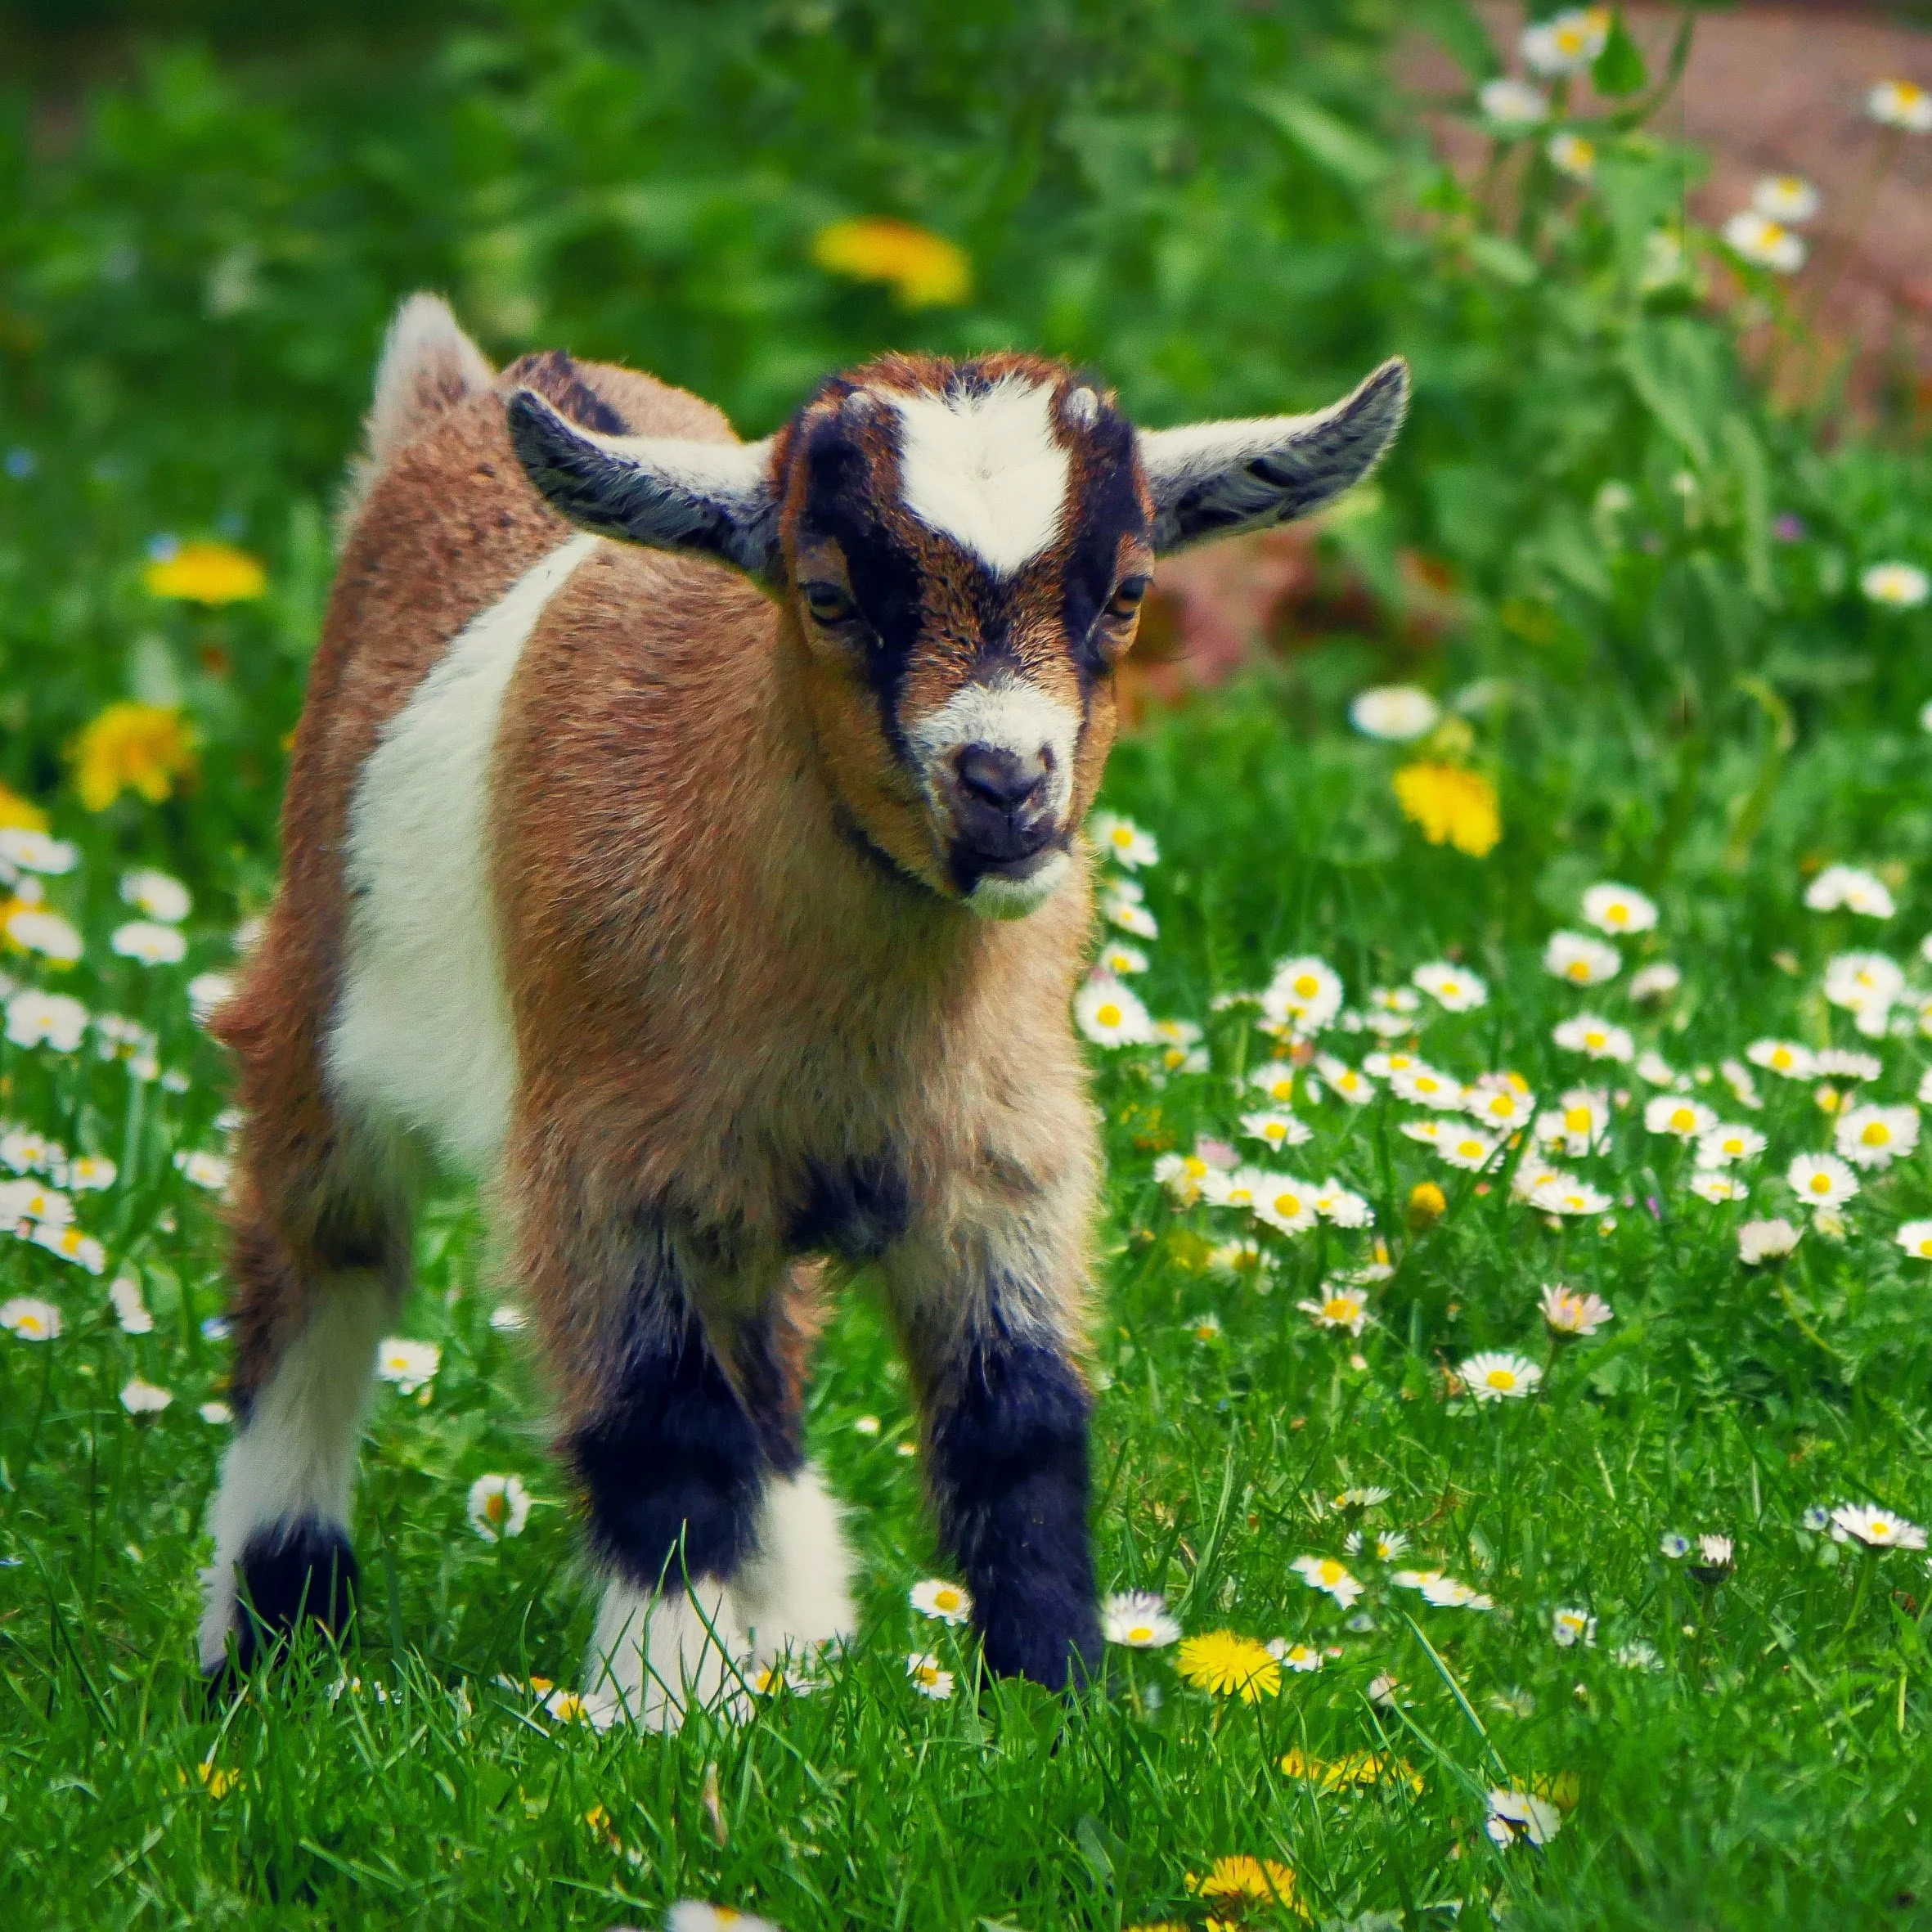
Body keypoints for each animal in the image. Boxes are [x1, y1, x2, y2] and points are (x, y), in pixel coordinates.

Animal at [198, 292, 1406, 1723]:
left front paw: (1055, 1702)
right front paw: (659, 1717)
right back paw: (266, 1642)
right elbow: (661, 1433)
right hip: (316, 1009)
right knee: (318, 1268)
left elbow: (1021, 1426)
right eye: (827, 597)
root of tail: (465, 395)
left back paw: (798, 1641)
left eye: (1126, 594)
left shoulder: (1003, 1160)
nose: (1005, 784)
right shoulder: (607, 1172)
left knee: (765, 1361)